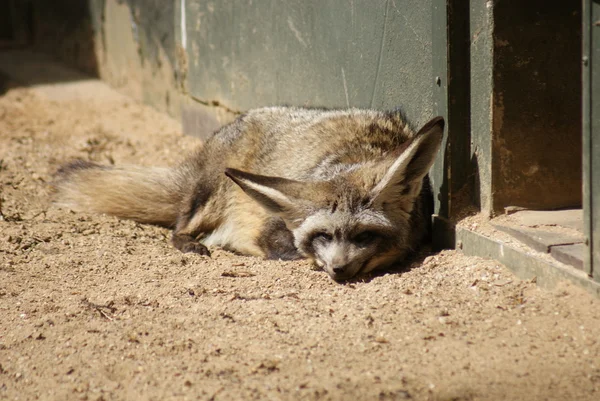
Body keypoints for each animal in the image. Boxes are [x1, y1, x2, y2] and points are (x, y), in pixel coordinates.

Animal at [52, 108, 446, 280]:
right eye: (322, 235)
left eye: (365, 236)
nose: (337, 269)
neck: (351, 156)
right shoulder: (273, 224)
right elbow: (284, 249)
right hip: (212, 193)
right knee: (179, 227)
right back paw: (191, 242)